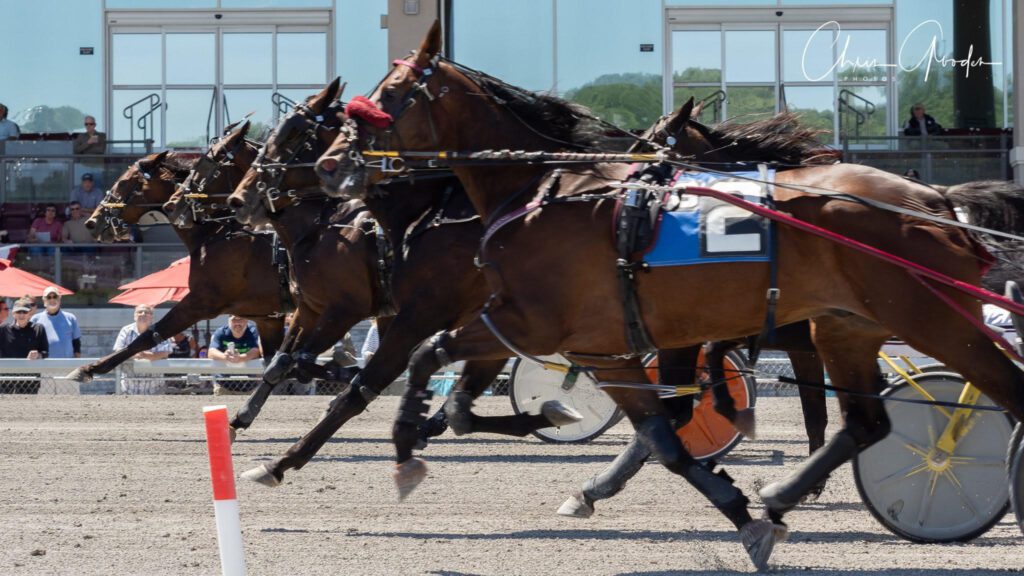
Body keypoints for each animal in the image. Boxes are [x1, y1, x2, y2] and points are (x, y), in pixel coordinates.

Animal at [323, 21, 1024, 565]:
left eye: (388, 96)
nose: (332, 164)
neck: (546, 193)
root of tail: (937, 202)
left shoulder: (533, 323)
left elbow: (424, 355)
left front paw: (410, 445)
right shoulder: (602, 342)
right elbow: (662, 437)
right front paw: (739, 512)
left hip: (933, 318)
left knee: (1004, 392)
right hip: (845, 325)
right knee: (866, 421)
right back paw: (781, 494)